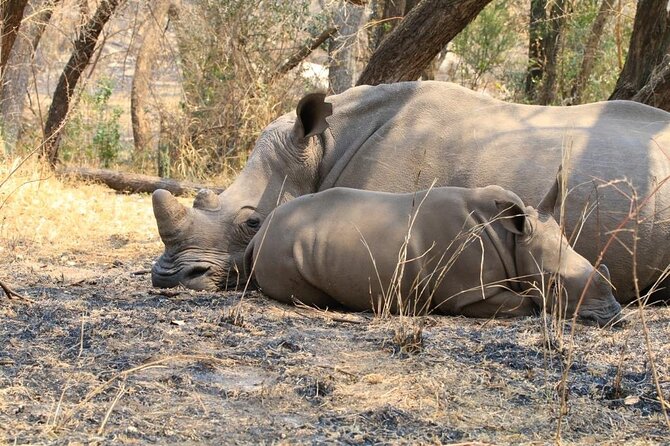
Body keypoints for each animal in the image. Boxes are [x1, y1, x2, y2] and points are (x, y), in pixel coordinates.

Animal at [247, 183, 624, 326]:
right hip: (282, 249)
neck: (513, 238)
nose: (614, 317)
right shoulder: (469, 293)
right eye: (554, 283)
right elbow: (528, 302)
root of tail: (259, 233)